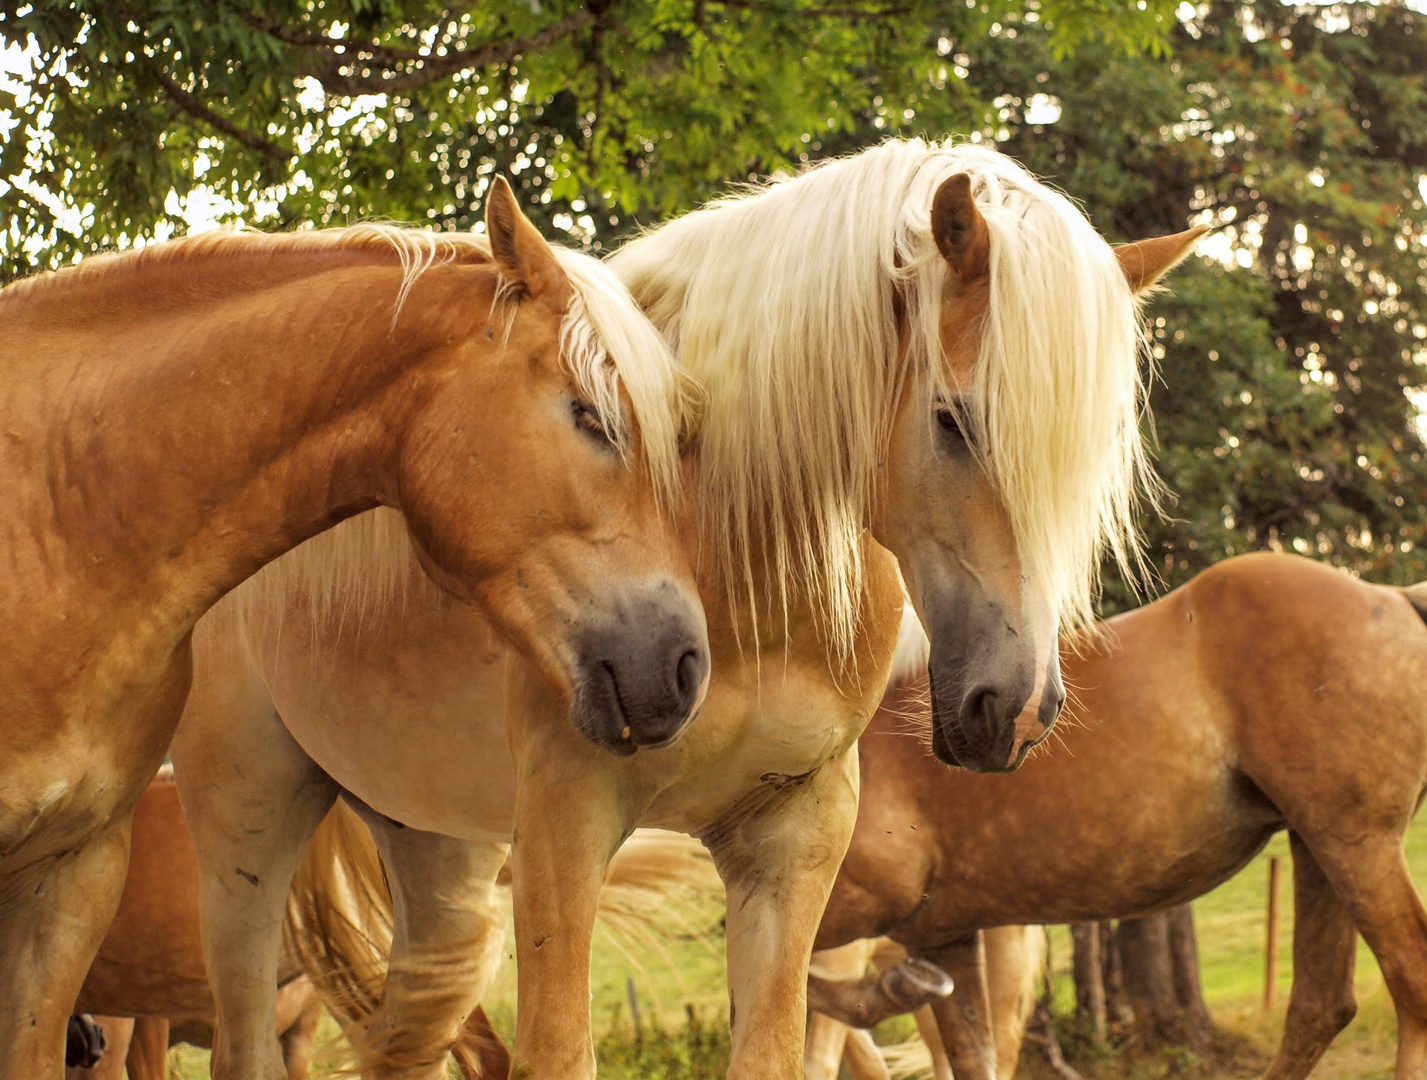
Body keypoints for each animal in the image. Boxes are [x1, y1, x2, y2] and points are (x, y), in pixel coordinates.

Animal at [169, 136, 1204, 1078]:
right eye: (954, 419)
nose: (1015, 710)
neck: (727, 550)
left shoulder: (791, 835)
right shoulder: (567, 823)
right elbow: (559, 1054)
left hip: (438, 855)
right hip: (244, 829)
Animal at [810, 550, 1427, 1078]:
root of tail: (1393, 597)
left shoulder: (855, 902)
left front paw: (885, 992)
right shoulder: (943, 935)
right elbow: (969, 1056)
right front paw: (900, 989)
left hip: (1356, 844)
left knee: (1409, 983)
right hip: (1320, 846)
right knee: (1321, 1006)